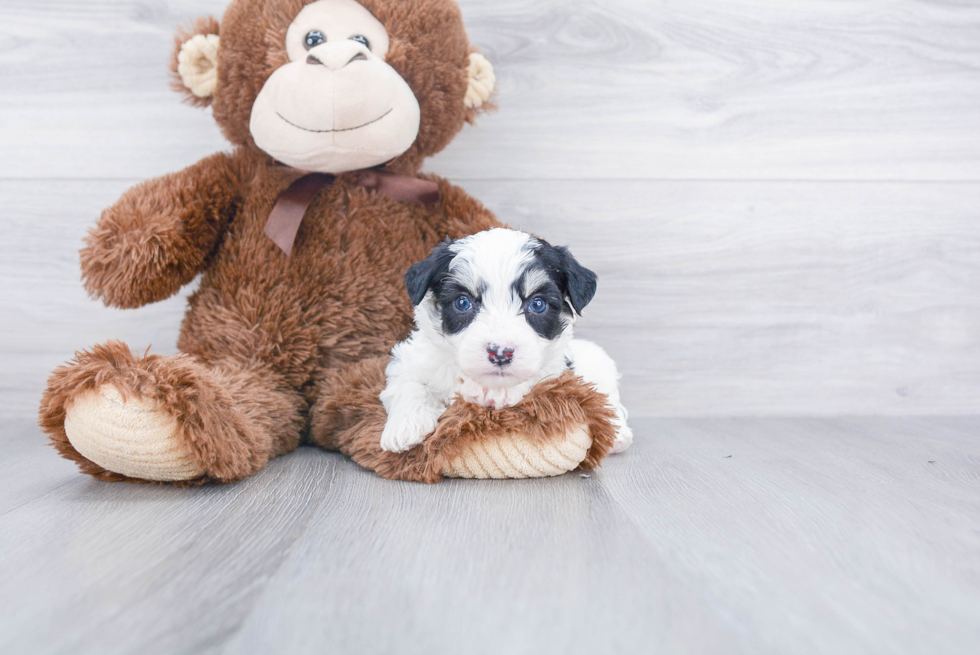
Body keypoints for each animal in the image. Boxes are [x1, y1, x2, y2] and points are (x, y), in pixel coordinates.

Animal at [378, 229, 632, 456]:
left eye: (537, 304)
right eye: (462, 302)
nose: (500, 353)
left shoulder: (555, 369)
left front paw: (497, 392)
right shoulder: (411, 360)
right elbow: (409, 385)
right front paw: (405, 427)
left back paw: (618, 434)